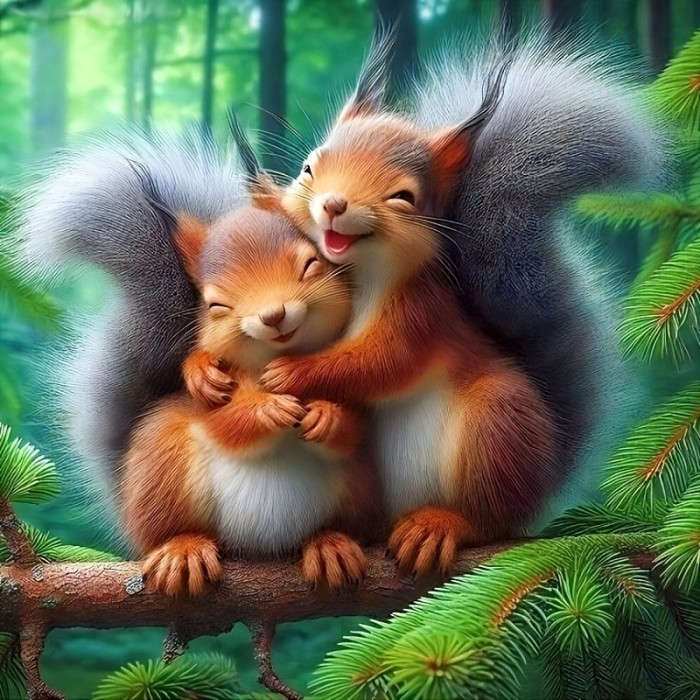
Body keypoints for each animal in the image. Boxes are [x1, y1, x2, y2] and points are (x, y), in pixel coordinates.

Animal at [121, 206, 379, 595]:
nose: (273, 315)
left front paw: (327, 415)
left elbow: (358, 425)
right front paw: (268, 409)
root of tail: (260, 548)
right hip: (162, 471)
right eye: (215, 304)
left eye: (311, 265)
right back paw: (182, 549)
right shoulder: (210, 400)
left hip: (357, 489)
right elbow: (227, 423)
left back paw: (330, 544)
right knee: (165, 530)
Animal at [254, 34, 666, 574]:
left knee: (489, 518)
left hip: (496, 426)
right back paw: (328, 541)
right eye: (308, 167)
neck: (357, 277)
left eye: (403, 196)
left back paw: (441, 525)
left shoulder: (420, 314)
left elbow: (380, 362)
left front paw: (293, 371)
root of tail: (545, 479)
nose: (333, 204)